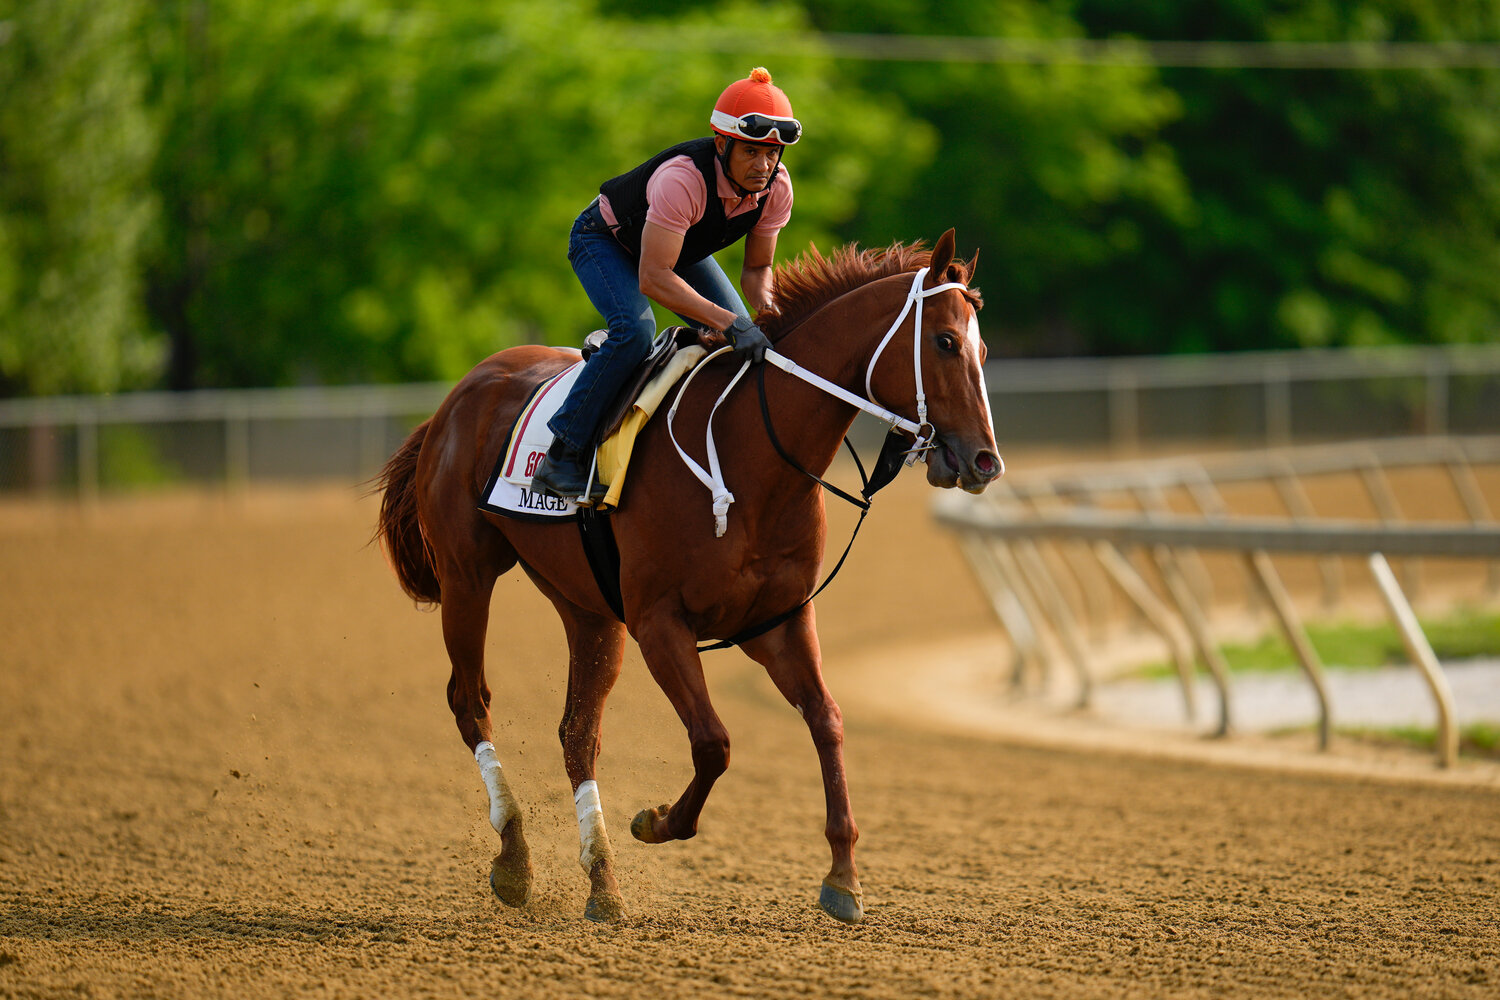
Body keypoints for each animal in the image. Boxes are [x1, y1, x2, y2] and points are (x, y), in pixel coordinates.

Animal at [373, 226, 1002, 923]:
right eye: (945, 342)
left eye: (981, 347)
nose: (985, 460)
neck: (750, 452)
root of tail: (459, 394)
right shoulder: (659, 623)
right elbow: (714, 742)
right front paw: (657, 821)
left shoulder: (777, 622)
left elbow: (828, 720)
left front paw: (843, 874)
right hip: (467, 575)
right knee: (470, 702)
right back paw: (515, 859)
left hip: (587, 609)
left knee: (576, 734)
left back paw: (603, 881)